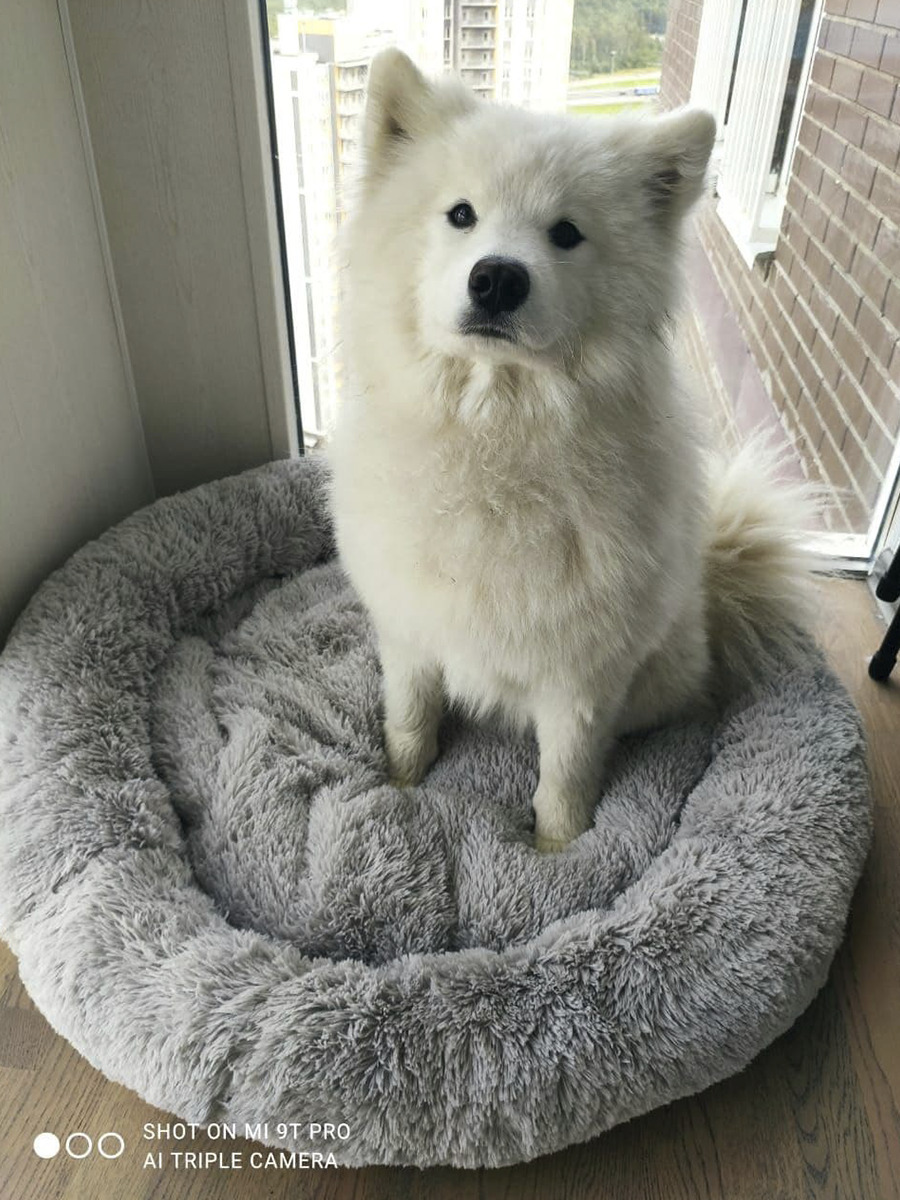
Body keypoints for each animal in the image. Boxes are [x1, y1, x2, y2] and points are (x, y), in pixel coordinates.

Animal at [329, 48, 814, 851]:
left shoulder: (582, 678)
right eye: (460, 214)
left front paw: (556, 851)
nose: (497, 276)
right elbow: (409, 720)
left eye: (565, 233)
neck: (497, 438)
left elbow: (565, 773)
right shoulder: (409, 634)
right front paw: (398, 784)